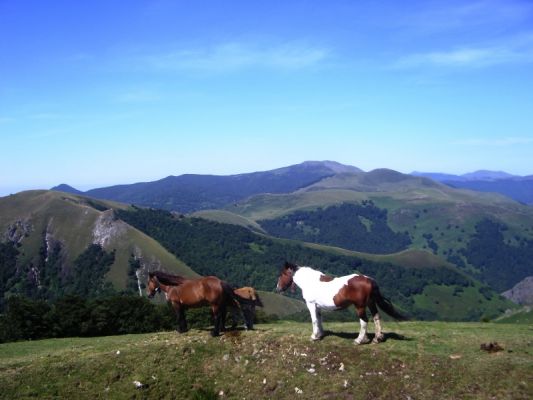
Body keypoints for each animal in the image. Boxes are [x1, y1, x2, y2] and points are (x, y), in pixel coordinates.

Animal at [276, 262, 406, 344]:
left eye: (283, 274)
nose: (278, 288)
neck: (310, 282)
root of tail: (369, 280)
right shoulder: (318, 306)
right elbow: (319, 319)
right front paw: (320, 335)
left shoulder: (311, 304)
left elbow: (314, 320)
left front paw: (314, 337)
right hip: (371, 303)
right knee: (376, 318)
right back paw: (377, 338)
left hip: (360, 306)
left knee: (364, 321)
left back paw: (359, 340)